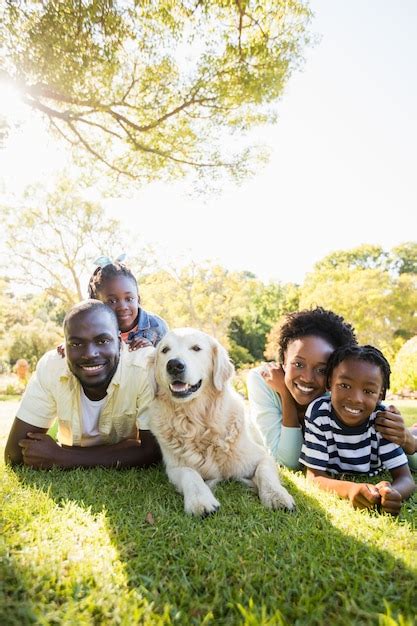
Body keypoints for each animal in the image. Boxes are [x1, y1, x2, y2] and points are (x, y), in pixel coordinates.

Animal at [148, 330, 294, 516]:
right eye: (165, 350)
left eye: (196, 348)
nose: (174, 365)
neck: (197, 423)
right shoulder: (174, 468)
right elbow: (190, 474)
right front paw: (200, 501)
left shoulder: (262, 456)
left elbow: (265, 472)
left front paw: (277, 496)